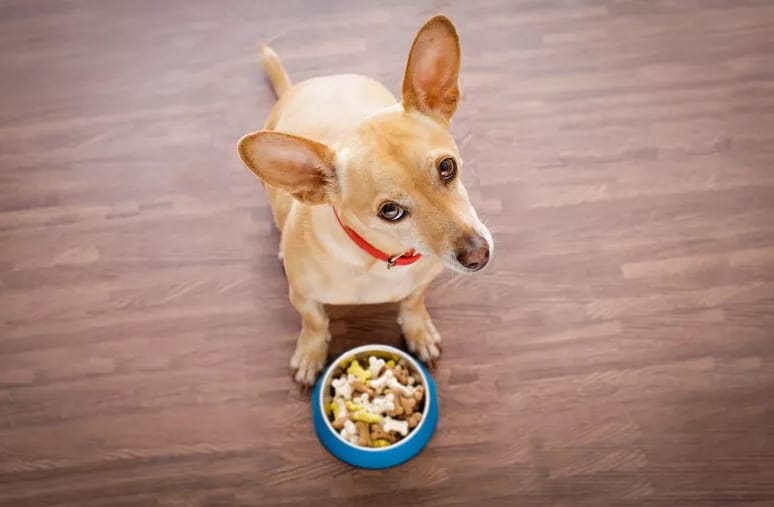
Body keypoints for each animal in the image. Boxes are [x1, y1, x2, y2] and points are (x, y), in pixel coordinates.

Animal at [238, 15, 492, 386]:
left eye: (448, 168)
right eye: (390, 211)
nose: (478, 256)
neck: (384, 258)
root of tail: (306, 85)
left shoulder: (421, 285)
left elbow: (413, 303)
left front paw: (418, 330)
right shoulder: (303, 298)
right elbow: (315, 323)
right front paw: (310, 353)